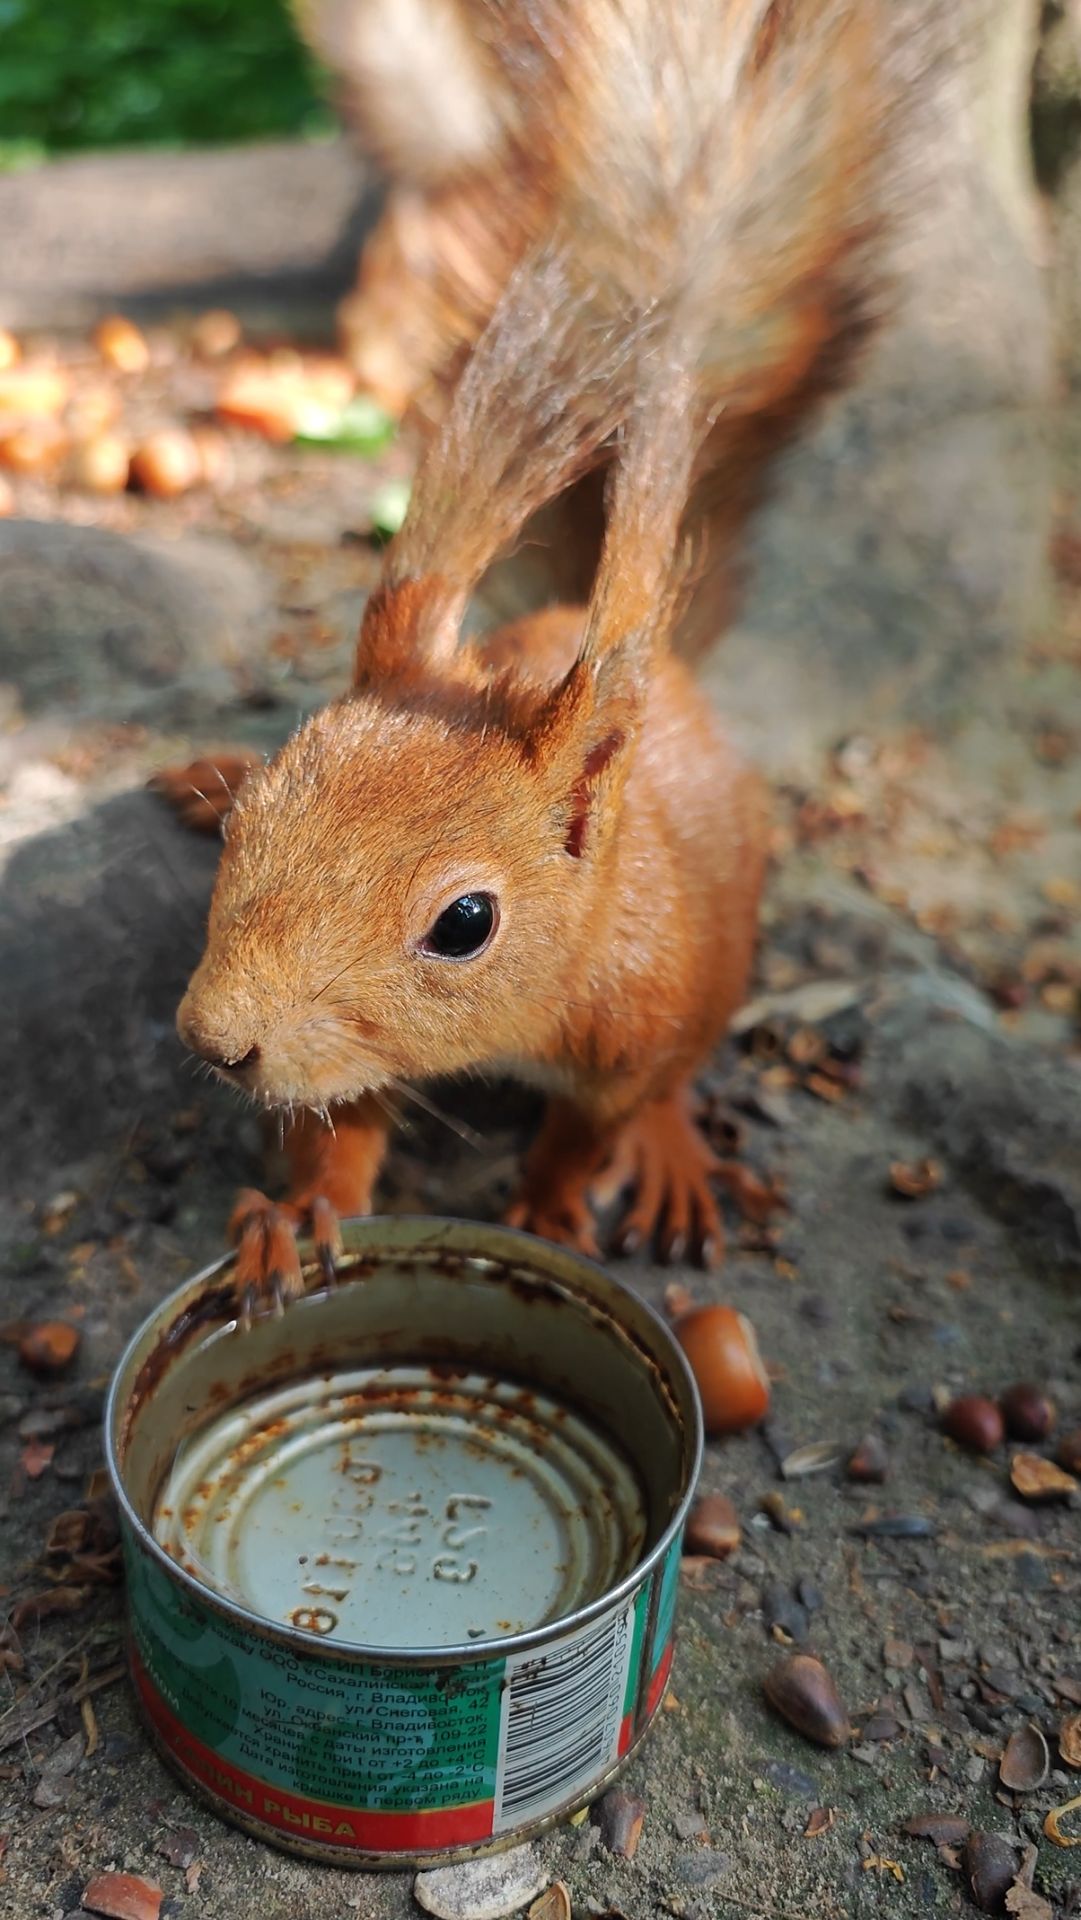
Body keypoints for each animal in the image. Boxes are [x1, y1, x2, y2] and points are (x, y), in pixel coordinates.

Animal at [155, 0, 904, 1309]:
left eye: (465, 924)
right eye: (254, 823)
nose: (217, 1042)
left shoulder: (638, 1012)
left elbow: (590, 1127)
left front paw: (555, 1205)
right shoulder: (351, 1060)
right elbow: (341, 1130)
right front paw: (295, 1214)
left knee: (671, 1087)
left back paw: (674, 1158)